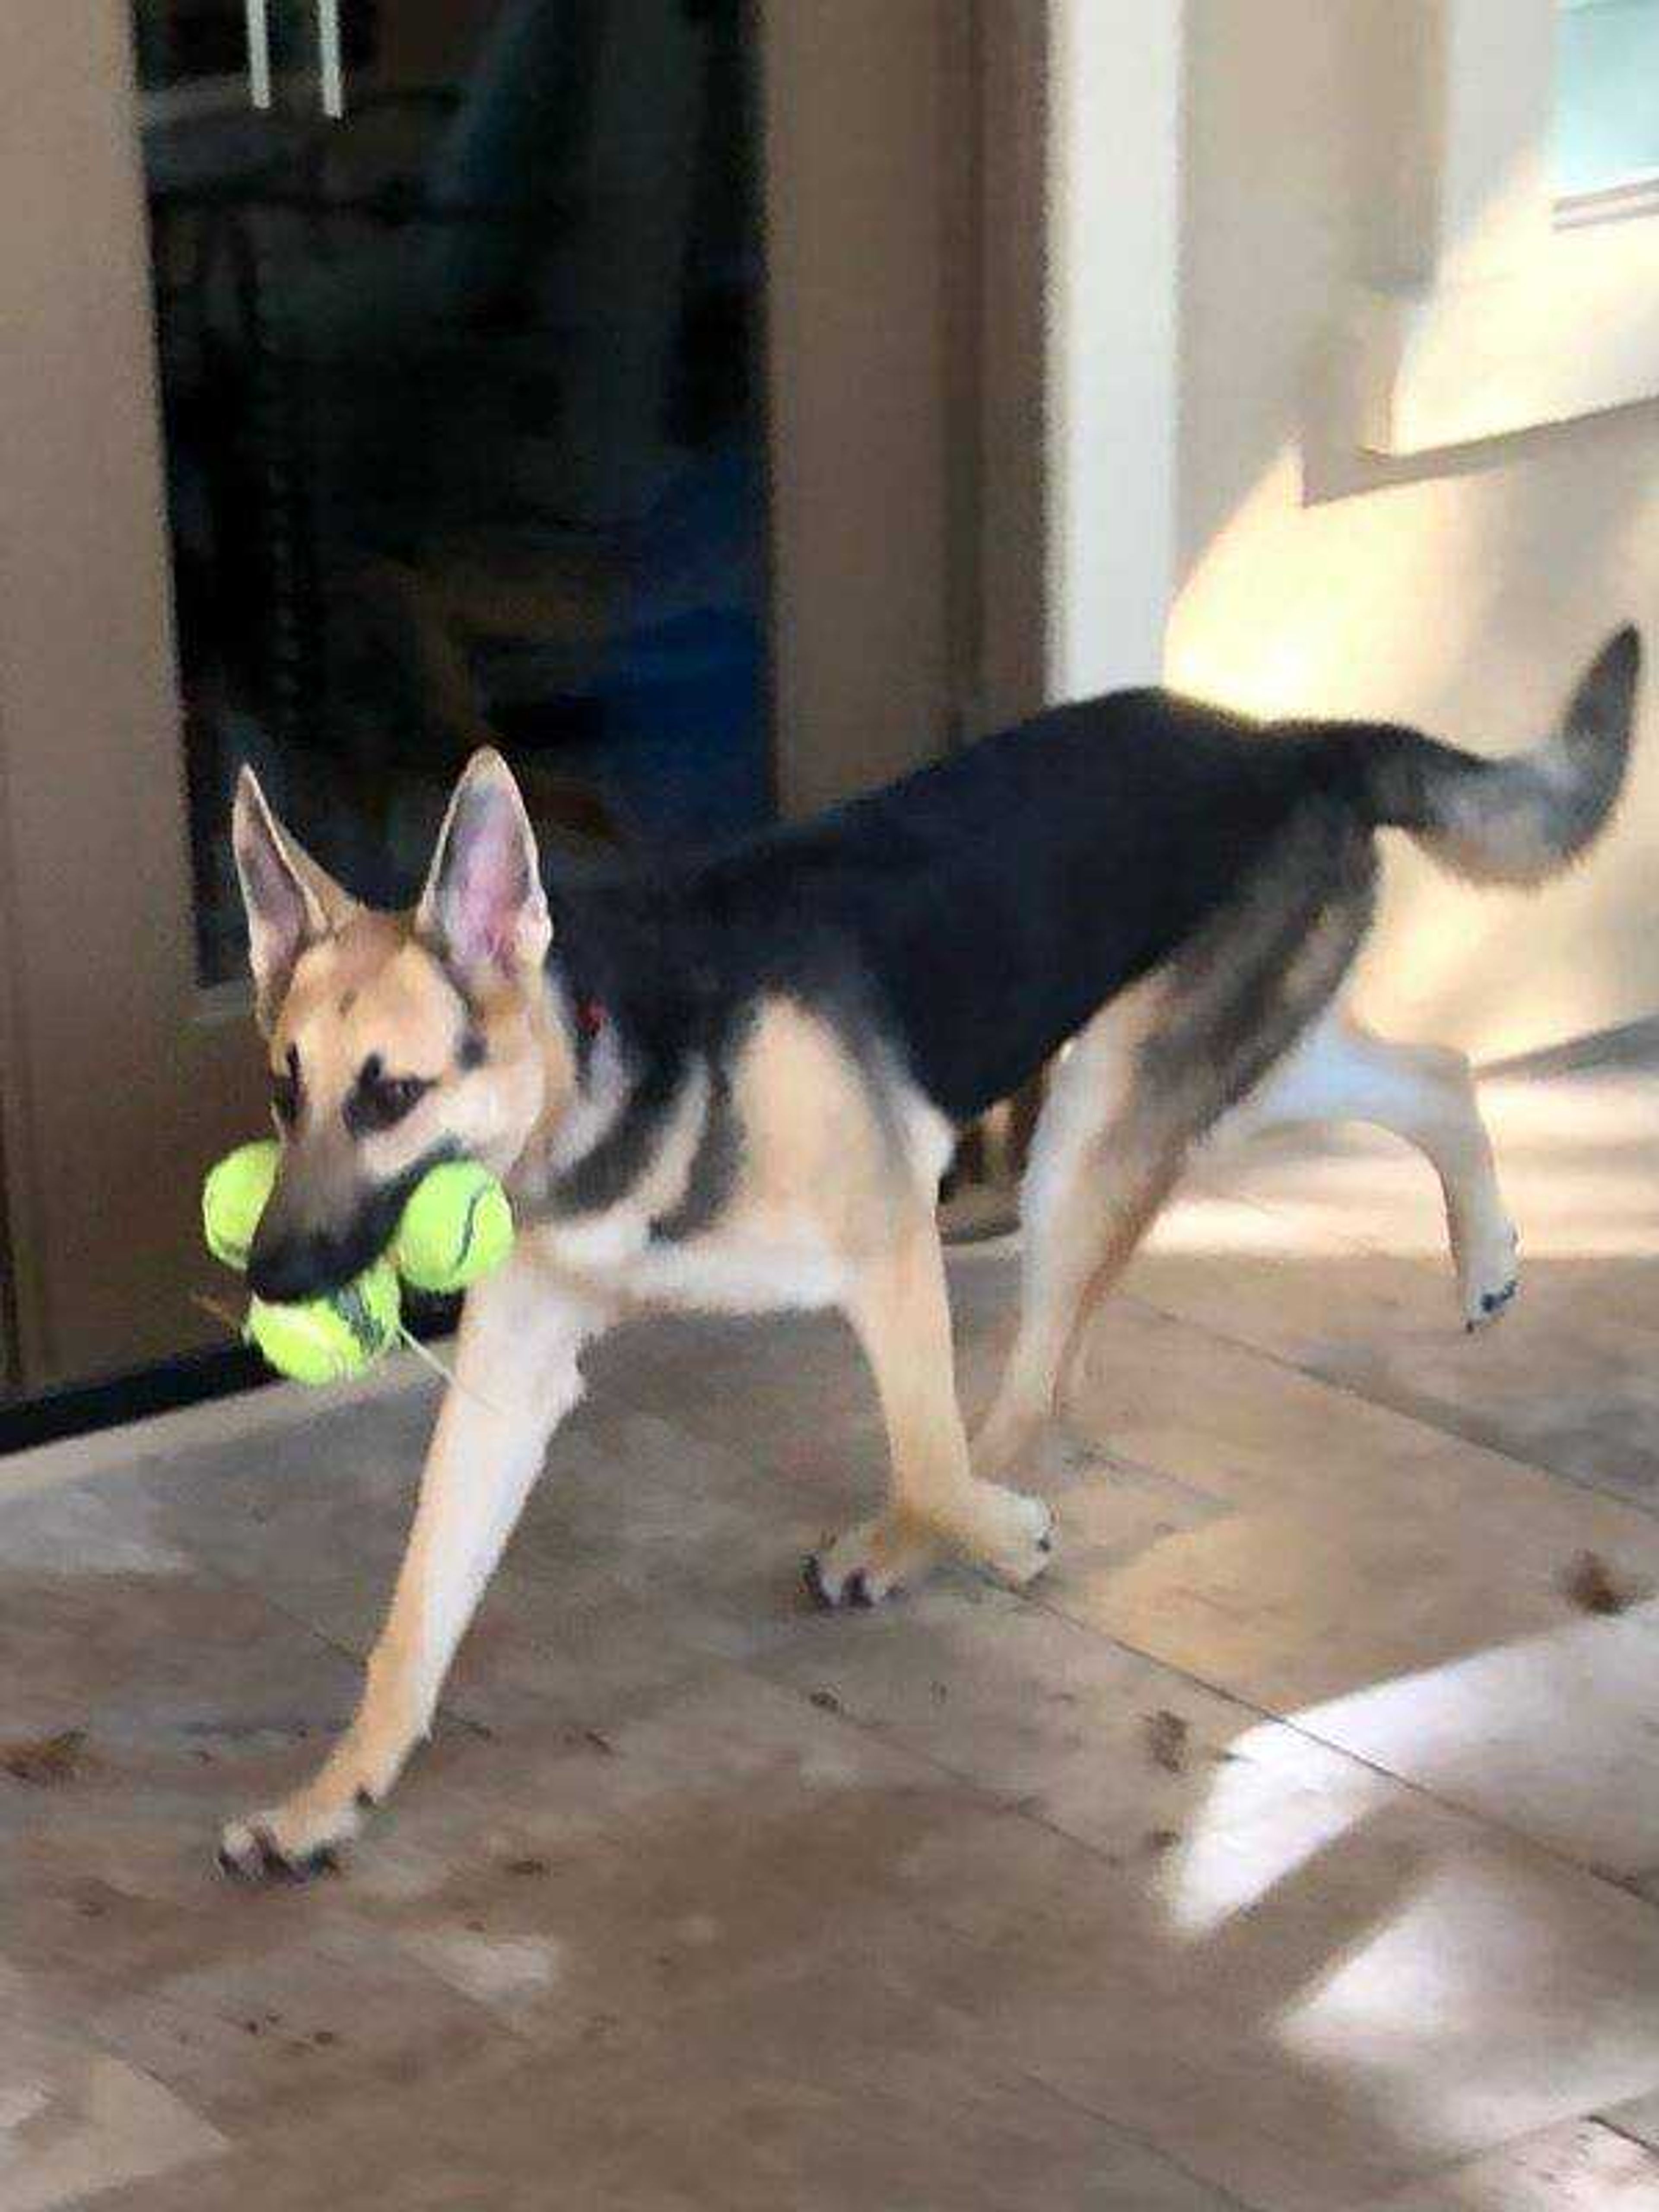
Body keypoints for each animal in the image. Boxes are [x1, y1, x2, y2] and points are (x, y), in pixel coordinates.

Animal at [218, 632, 1637, 1875]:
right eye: (287, 1091)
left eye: (390, 1096)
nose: (269, 1283)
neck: (609, 1069)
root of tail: (1289, 741)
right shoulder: (511, 1384)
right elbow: (412, 1618)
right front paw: (331, 1795)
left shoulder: (891, 1247)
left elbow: (932, 1452)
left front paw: (995, 1535)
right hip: (1233, 1074)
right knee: (1436, 1070)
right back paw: (1485, 1247)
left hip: (1092, 1132)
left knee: (1031, 1394)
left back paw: (915, 1539)